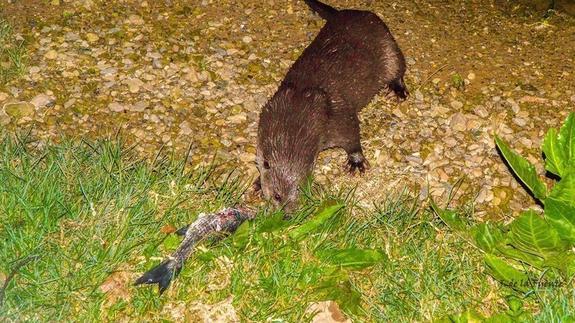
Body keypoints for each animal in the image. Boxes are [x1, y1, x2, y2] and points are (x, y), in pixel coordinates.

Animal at [254, 0, 408, 211]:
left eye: (303, 192)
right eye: (278, 196)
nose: (288, 215)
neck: (299, 104)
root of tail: (348, 12)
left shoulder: (337, 117)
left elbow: (352, 138)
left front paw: (356, 163)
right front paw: (257, 182)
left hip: (389, 47)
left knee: (399, 69)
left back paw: (398, 90)